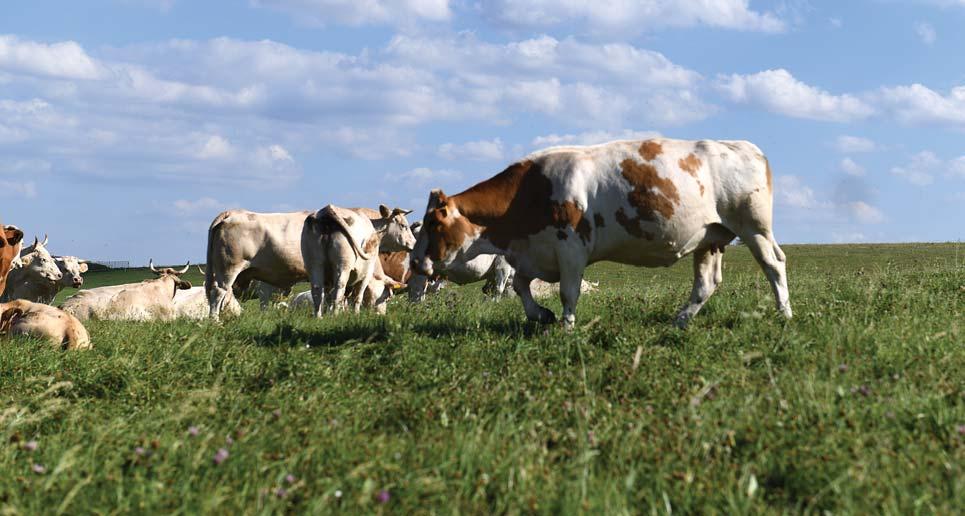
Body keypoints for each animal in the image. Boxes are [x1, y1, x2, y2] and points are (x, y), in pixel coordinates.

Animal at [410, 138, 796, 326]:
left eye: (433, 223)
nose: (413, 262)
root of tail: (745, 146)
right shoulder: (532, 253)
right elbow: (520, 286)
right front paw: (541, 315)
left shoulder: (570, 249)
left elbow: (567, 292)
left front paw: (566, 326)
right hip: (710, 238)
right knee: (707, 282)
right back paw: (680, 321)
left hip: (754, 227)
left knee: (774, 264)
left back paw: (784, 313)